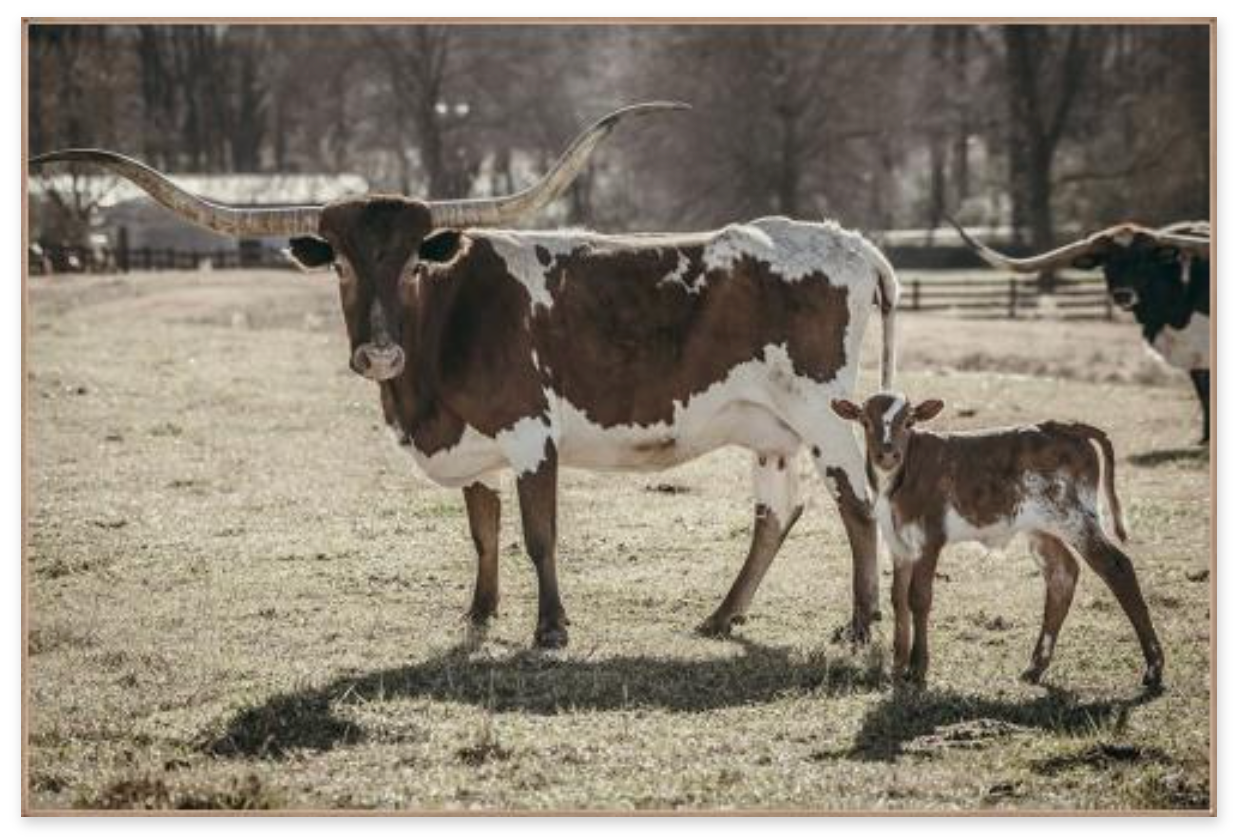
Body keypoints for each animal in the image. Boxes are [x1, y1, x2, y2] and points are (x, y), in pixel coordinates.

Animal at [30, 103, 900, 649]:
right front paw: (478, 615)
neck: (428, 371)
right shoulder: (470, 447)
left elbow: (538, 534)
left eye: (417, 260)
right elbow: (482, 531)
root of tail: (848, 238)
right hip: (771, 429)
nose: (379, 353)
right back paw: (723, 618)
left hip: (826, 413)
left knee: (856, 505)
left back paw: (861, 626)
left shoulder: (529, 434)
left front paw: (551, 629)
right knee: (776, 514)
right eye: (340, 263)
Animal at [831, 392, 1164, 689]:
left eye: (909, 421)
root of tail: (1064, 427)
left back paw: (1154, 668)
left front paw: (918, 668)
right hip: (1042, 526)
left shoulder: (930, 539)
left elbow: (919, 598)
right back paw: (1035, 667)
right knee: (1062, 574)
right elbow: (898, 598)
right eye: (864, 421)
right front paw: (898, 666)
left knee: (1117, 566)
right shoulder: (899, 543)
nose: (888, 454)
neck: (898, 481)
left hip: (1074, 517)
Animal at [949, 219, 1212, 443]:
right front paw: (1204, 439)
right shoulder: (1195, 357)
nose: (1123, 294)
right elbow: (1203, 394)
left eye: (1144, 260)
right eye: (1106, 262)